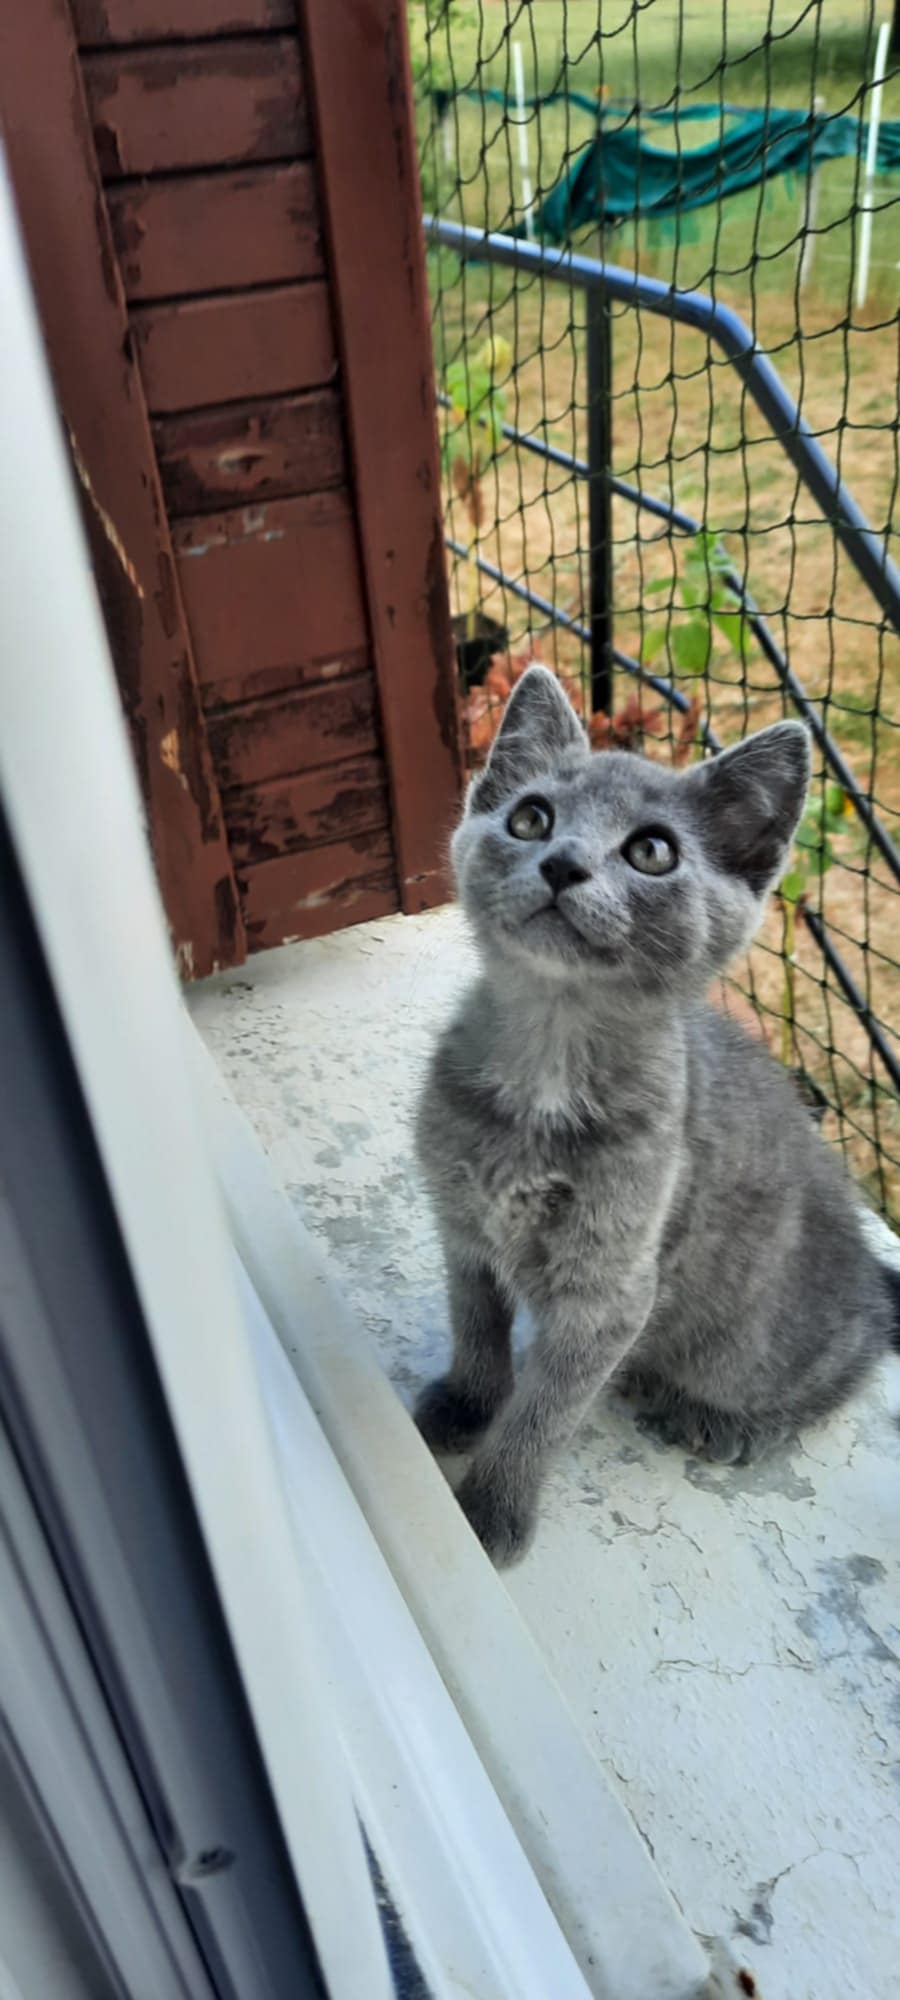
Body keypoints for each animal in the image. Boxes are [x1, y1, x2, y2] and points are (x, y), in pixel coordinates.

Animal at [414, 665, 899, 1566]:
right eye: (531, 817)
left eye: (651, 851)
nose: (563, 864)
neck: (548, 1063)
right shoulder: (462, 1226)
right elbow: (476, 1326)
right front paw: (467, 1403)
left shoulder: (612, 1289)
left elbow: (545, 1411)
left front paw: (493, 1507)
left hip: (757, 1342)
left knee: (845, 1361)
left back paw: (730, 1419)